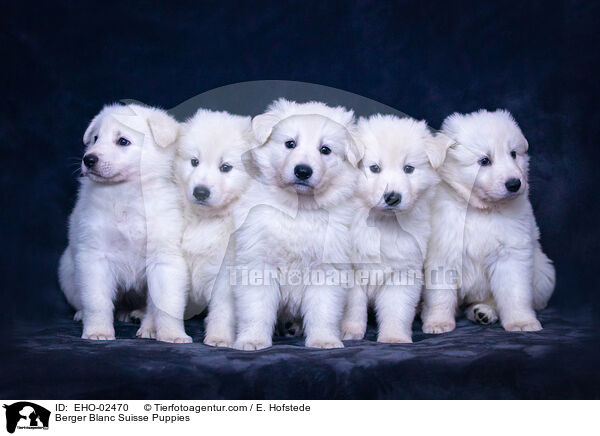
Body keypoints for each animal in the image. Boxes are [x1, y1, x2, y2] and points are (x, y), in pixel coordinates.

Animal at [57, 104, 190, 342]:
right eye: (95, 138)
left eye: (123, 141)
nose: (88, 159)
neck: (125, 192)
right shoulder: (95, 256)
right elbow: (97, 300)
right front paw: (98, 332)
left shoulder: (164, 258)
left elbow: (167, 303)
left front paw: (173, 335)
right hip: (68, 270)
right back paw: (85, 314)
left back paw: (146, 324)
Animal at [173, 109, 253, 348]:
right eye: (194, 161)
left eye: (225, 167)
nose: (200, 192)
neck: (206, 220)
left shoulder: (226, 272)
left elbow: (222, 310)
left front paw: (218, 338)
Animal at [232, 97, 358, 350]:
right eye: (290, 144)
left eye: (325, 150)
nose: (302, 171)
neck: (299, 209)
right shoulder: (258, 263)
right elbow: (256, 309)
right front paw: (252, 340)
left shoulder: (327, 269)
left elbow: (323, 311)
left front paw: (324, 340)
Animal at [342, 114, 440, 342]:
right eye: (374, 168)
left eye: (409, 169)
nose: (392, 197)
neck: (382, 223)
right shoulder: (352, 271)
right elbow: (353, 307)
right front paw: (350, 332)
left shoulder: (403, 271)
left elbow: (397, 309)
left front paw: (394, 338)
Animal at [420, 110, 556, 334]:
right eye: (484, 161)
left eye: (513, 154)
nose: (514, 183)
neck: (479, 210)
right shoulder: (443, 253)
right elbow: (440, 295)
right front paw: (438, 323)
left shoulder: (511, 253)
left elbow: (514, 292)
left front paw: (521, 322)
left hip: (543, 273)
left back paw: (483, 312)